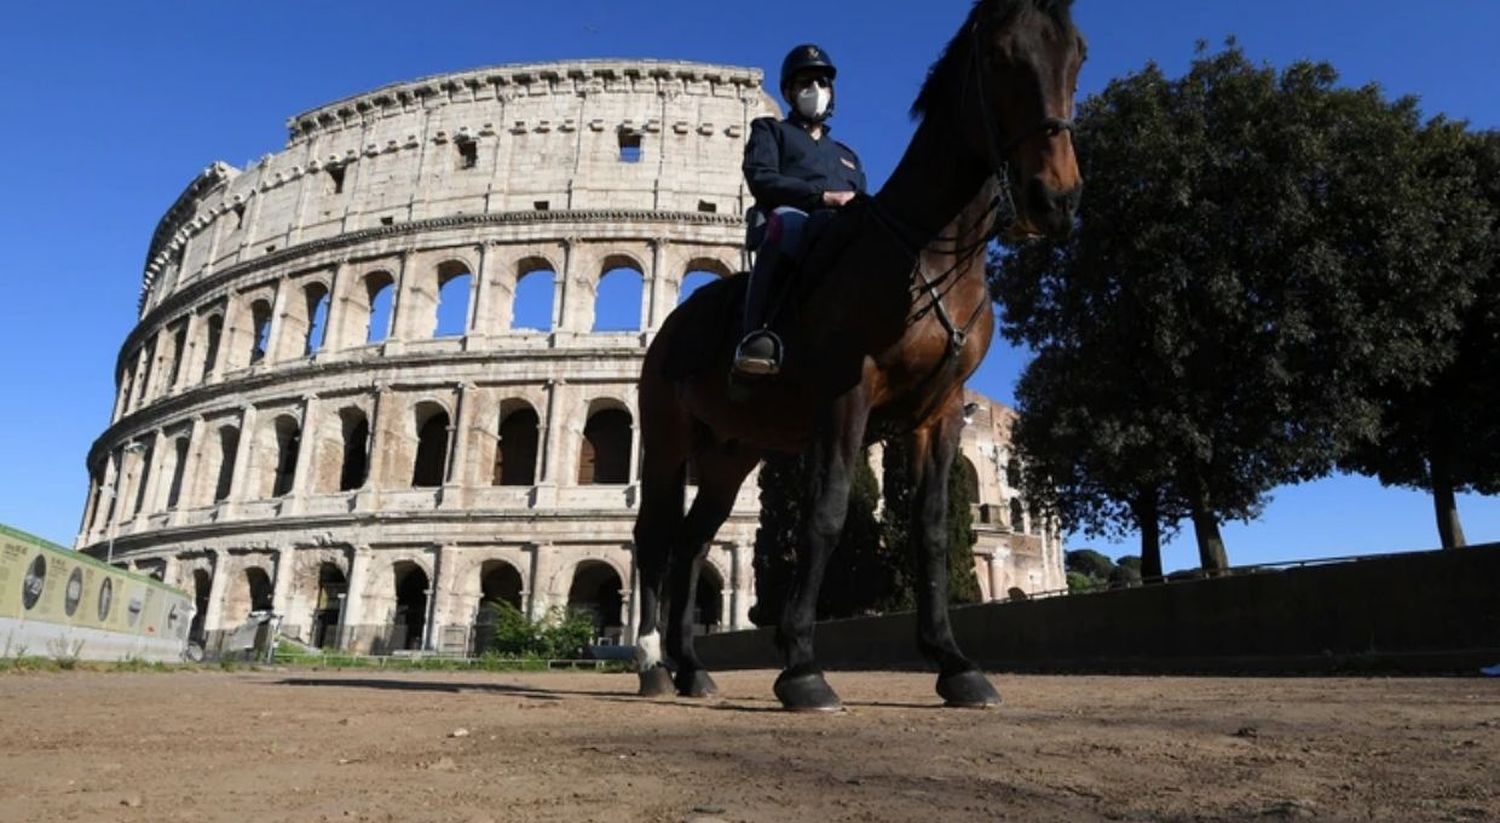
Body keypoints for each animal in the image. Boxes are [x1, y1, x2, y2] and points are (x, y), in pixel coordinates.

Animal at [630, 0, 1080, 710]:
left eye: (1077, 57)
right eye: (1002, 58)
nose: (1055, 199)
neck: (928, 252)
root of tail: (674, 325)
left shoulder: (940, 412)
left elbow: (930, 528)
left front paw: (953, 662)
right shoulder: (848, 394)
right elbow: (827, 513)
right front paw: (800, 667)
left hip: (730, 456)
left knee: (695, 542)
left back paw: (692, 668)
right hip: (670, 440)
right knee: (654, 537)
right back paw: (651, 663)